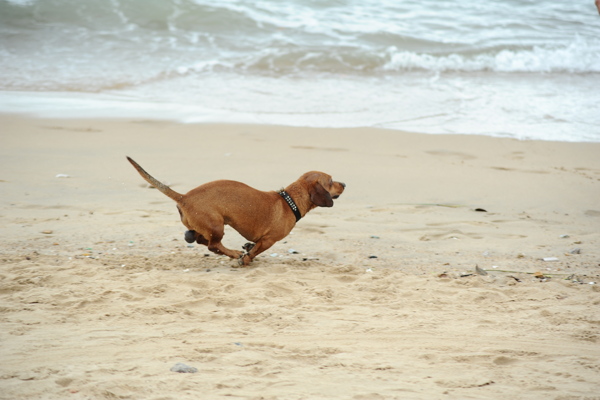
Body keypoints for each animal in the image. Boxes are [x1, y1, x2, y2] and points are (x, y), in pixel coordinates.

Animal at [125, 156, 346, 266]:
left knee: (200, 240)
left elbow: (252, 247)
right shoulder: (269, 240)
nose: (344, 184)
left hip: (207, 226)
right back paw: (233, 253)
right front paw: (244, 259)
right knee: (213, 246)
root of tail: (183, 197)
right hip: (217, 225)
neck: (289, 201)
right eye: (331, 181)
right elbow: (254, 252)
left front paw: (247, 250)